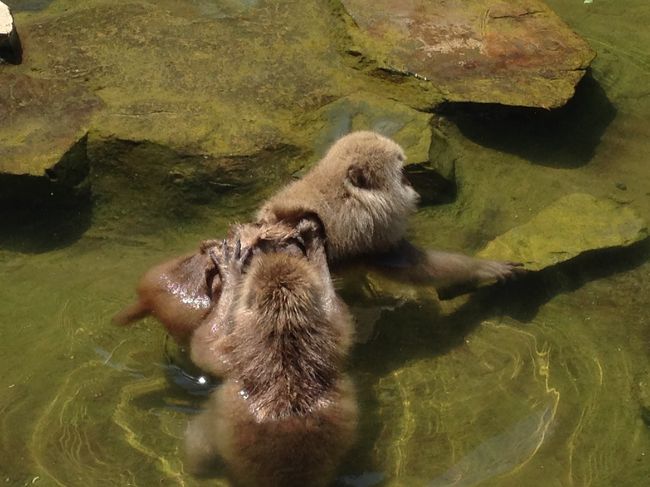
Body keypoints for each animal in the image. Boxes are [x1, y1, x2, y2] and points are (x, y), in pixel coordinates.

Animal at [182, 218, 356, 487]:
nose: (278, 256)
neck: (285, 351)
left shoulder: (233, 355)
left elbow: (204, 348)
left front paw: (231, 270)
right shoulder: (333, 341)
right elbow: (340, 317)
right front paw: (314, 242)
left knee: (199, 450)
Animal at [256, 130, 524, 296]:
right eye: (401, 171)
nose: (410, 182)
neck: (347, 193)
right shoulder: (372, 229)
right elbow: (410, 266)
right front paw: (481, 268)